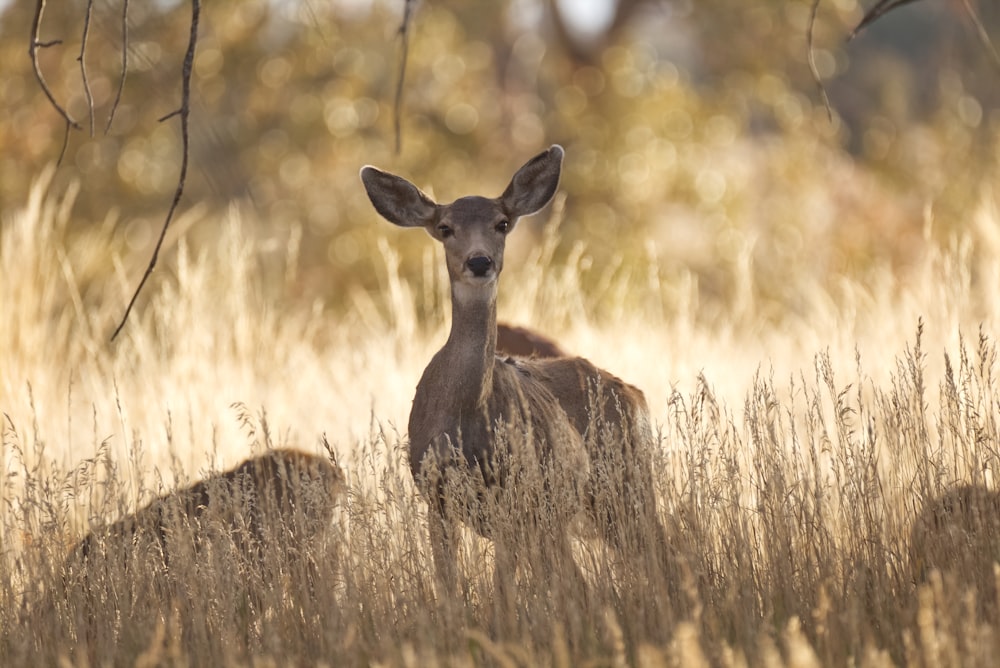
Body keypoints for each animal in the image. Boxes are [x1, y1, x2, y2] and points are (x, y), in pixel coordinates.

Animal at [360, 145, 664, 600]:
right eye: (445, 227)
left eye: (501, 223)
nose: (479, 261)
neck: (463, 420)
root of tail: (634, 393)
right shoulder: (436, 496)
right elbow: (450, 585)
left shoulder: (515, 498)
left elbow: (502, 589)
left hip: (620, 484)